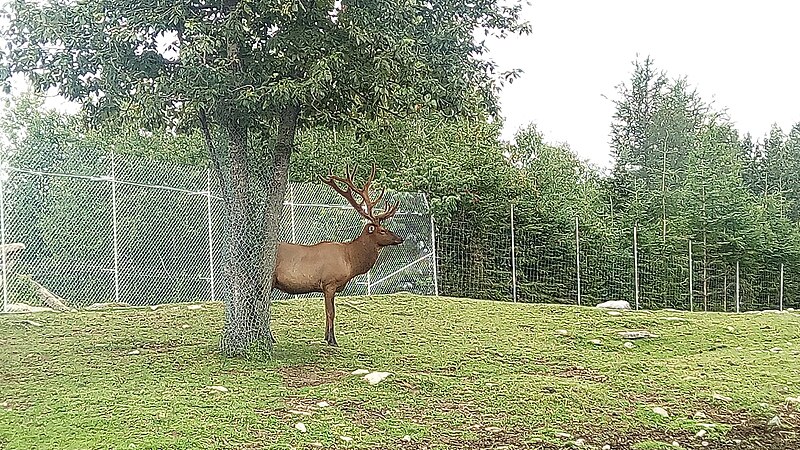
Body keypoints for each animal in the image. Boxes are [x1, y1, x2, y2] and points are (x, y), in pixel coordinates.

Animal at [272, 165, 404, 344]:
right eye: (382, 230)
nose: (400, 238)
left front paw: (325, 337)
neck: (350, 260)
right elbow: (331, 312)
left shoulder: (326, 287)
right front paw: (332, 340)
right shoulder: (329, 282)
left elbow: (326, 312)